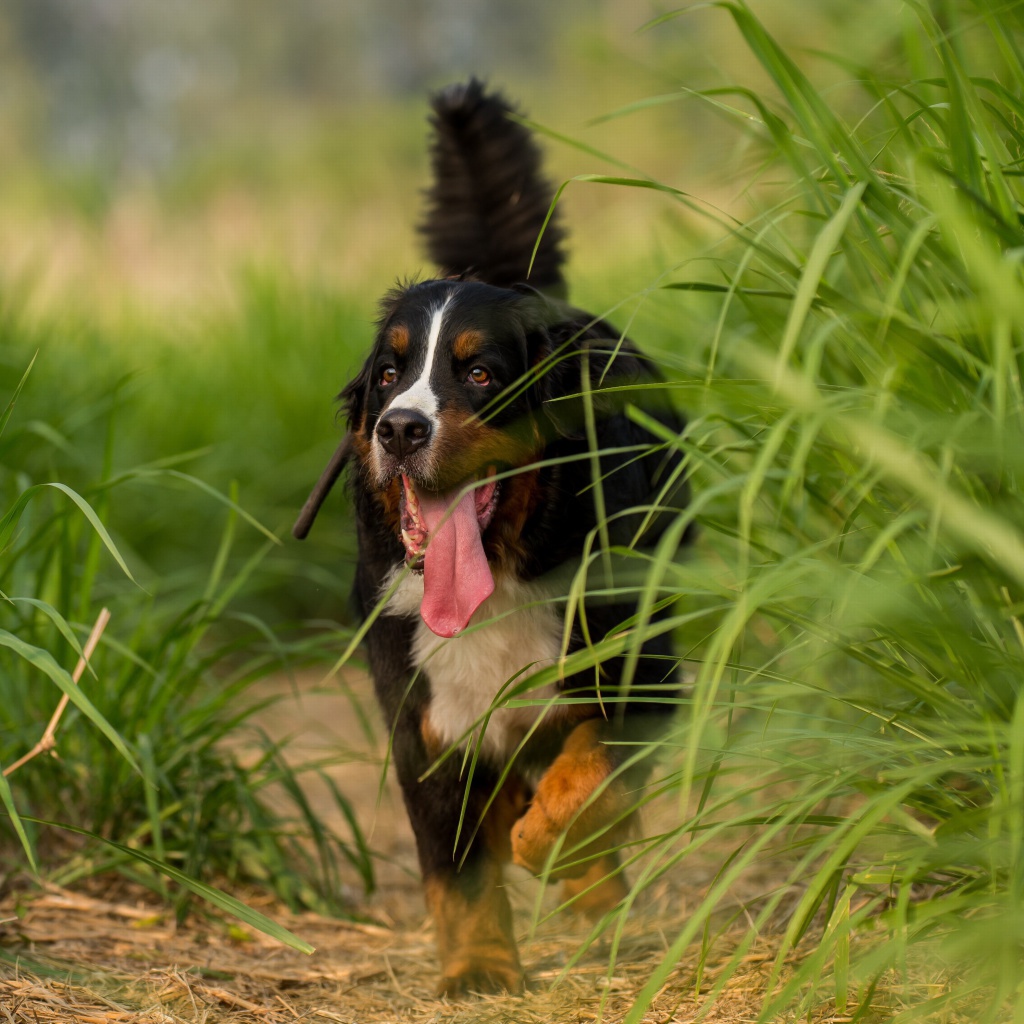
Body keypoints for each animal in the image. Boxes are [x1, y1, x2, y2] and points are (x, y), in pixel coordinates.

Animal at [299, 81, 696, 999]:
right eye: (388, 376)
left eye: (481, 374)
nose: (401, 428)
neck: (503, 578)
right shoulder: (425, 720)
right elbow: (459, 869)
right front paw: (479, 968)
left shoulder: (644, 676)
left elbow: (589, 782)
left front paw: (564, 857)